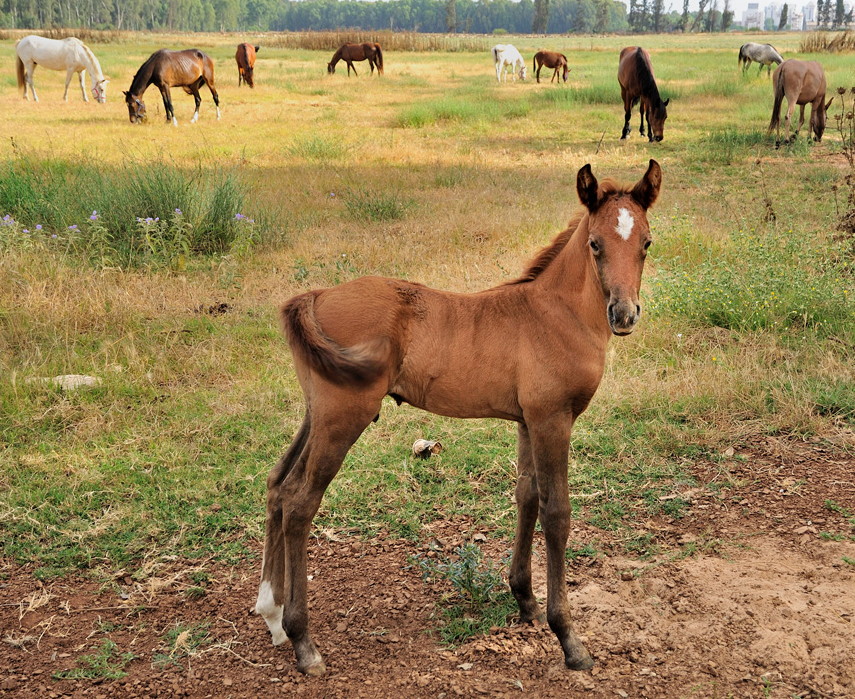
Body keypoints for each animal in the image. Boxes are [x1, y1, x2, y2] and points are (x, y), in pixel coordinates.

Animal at [254, 160, 664, 680]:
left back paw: (271, 616)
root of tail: (316, 295)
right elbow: (557, 513)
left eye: (646, 242)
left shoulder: (527, 420)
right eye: (595, 243)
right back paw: (303, 641)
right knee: (300, 501)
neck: (556, 314)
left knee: (278, 484)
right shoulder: (553, 419)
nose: (624, 314)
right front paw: (569, 638)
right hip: (343, 417)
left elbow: (527, 495)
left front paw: (525, 601)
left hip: (317, 412)